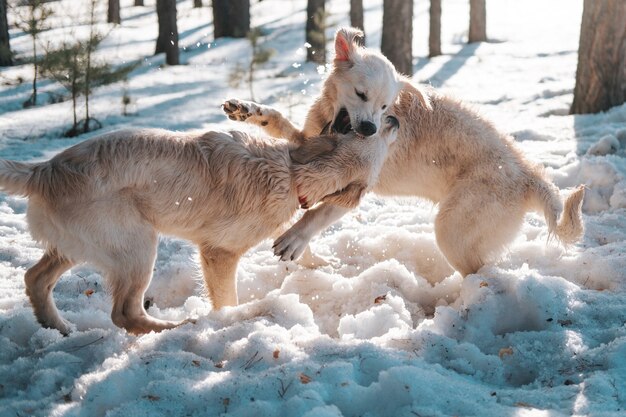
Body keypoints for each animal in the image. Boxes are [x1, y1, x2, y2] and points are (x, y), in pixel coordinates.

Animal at [0, 118, 398, 334]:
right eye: (368, 132)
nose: (391, 120)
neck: (290, 169)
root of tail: (43, 170)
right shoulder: (219, 253)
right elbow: (226, 300)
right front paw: (230, 321)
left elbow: (299, 241)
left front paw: (321, 263)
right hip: (137, 247)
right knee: (124, 313)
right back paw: (177, 328)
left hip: (79, 246)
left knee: (35, 279)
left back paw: (58, 327)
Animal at [222, 28, 584, 276]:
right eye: (361, 94)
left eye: (385, 106)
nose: (370, 129)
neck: (332, 123)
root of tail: (528, 174)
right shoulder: (307, 140)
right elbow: (278, 120)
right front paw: (247, 110)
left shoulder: (357, 185)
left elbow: (318, 214)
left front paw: (296, 239)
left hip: (452, 231)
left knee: (482, 274)